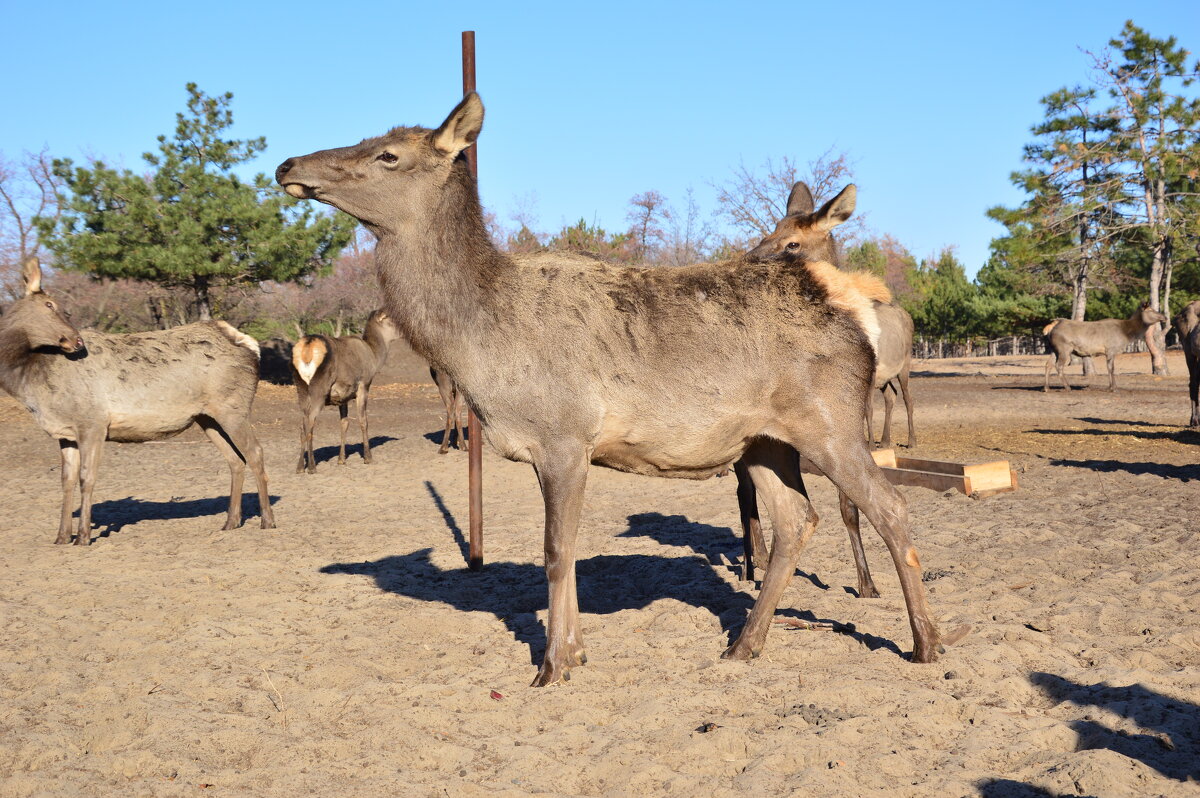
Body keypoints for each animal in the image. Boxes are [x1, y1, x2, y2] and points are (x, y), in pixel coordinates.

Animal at [291, 309, 400, 472]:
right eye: (392, 319)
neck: (374, 359)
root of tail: (307, 347)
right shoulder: (363, 385)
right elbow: (363, 420)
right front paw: (368, 458)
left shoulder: (343, 397)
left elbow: (344, 423)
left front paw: (341, 459)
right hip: (319, 388)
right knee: (310, 422)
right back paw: (312, 466)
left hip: (301, 388)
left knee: (302, 424)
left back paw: (299, 468)